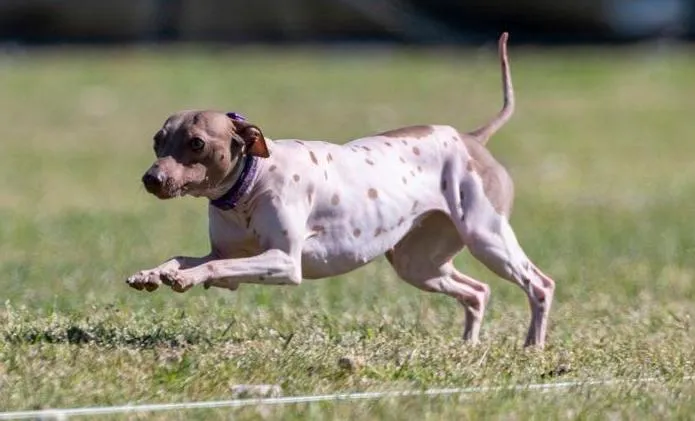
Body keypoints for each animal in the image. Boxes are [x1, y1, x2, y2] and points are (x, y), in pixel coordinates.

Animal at [128, 32, 556, 346]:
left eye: (197, 143)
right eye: (157, 141)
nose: (151, 179)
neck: (249, 187)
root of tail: (471, 138)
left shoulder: (284, 262)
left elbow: (211, 267)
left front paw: (183, 279)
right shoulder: (230, 259)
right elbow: (188, 259)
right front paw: (153, 273)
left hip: (487, 238)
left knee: (540, 285)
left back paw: (532, 347)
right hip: (418, 263)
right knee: (477, 291)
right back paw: (468, 345)